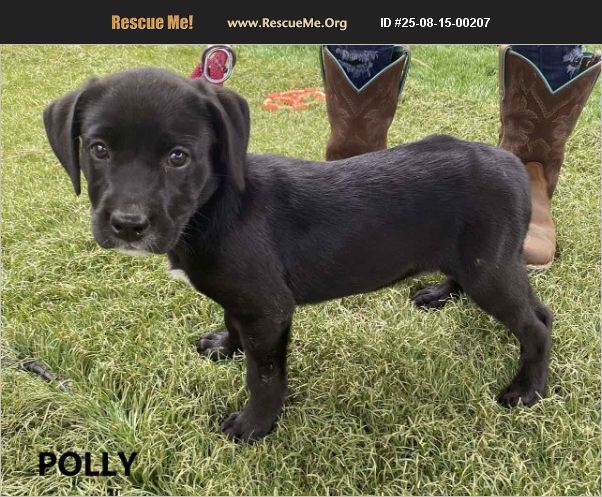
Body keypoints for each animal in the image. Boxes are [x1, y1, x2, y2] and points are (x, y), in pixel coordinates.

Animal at [43, 67, 552, 442]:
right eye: (99, 149)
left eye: (178, 157)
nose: (128, 226)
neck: (215, 207)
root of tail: (512, 163)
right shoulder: (246, 302)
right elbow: (233, 323)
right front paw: (225, 347)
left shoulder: (268, 308)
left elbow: (264, 376)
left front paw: (254, 426)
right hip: (483, 258)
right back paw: (439, 294)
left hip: (489, 268)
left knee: (537, 324)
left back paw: (528, 388)